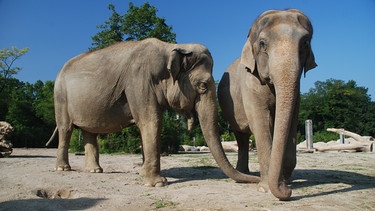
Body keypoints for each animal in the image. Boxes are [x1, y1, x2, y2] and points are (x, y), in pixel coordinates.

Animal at [53, 38, 262, 188]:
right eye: (203, 85)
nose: (257, 179)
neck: (171, 48)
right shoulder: (139, 80)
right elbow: (151, 121)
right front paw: (158, 184)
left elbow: (148, 124)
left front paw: (142, 174)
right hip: (60, 95)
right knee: (65, 129)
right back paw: (63, 169)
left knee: (90, 132)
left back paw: (95, 171)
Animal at [217, 9, 318, 200]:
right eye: (262, 43)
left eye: (305, 42)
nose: (288, 191)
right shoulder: (250, 84)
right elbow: (260, 122)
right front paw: (265, 189)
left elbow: (291, 119)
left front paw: (283, 181)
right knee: (241, 136)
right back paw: (244, 173)